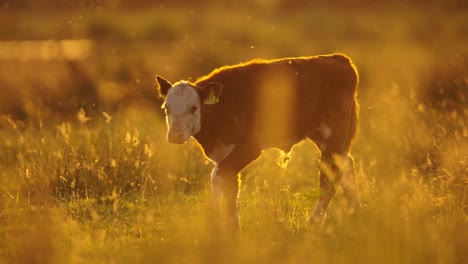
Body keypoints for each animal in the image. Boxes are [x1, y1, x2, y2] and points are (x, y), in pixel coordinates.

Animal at [155, 54, 360, 233]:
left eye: (194, 108)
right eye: (167, 108)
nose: (175, 135)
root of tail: (339, 59)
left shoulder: (249, 148)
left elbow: (218, 176)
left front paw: (212, 218)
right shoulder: (223, 152)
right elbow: (231, 184)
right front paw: (233, 228)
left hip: (332, 139)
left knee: (329, 179)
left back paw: (315, 222)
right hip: (332, 142)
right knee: (346, 170)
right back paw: (355, 214)